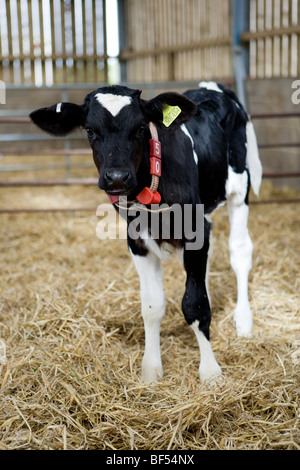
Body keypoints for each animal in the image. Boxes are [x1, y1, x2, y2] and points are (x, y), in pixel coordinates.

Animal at [29, 82, 262, 384]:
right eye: (89, 129)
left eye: (140, 127)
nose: (117, 177)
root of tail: (213, 86)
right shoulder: (137, 241)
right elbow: (152, 307)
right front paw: (151, 370)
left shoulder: (195, 230)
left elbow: (195, 305)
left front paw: (210, 372)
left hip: (239, 190)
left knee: (240, 252)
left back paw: (243, 320)